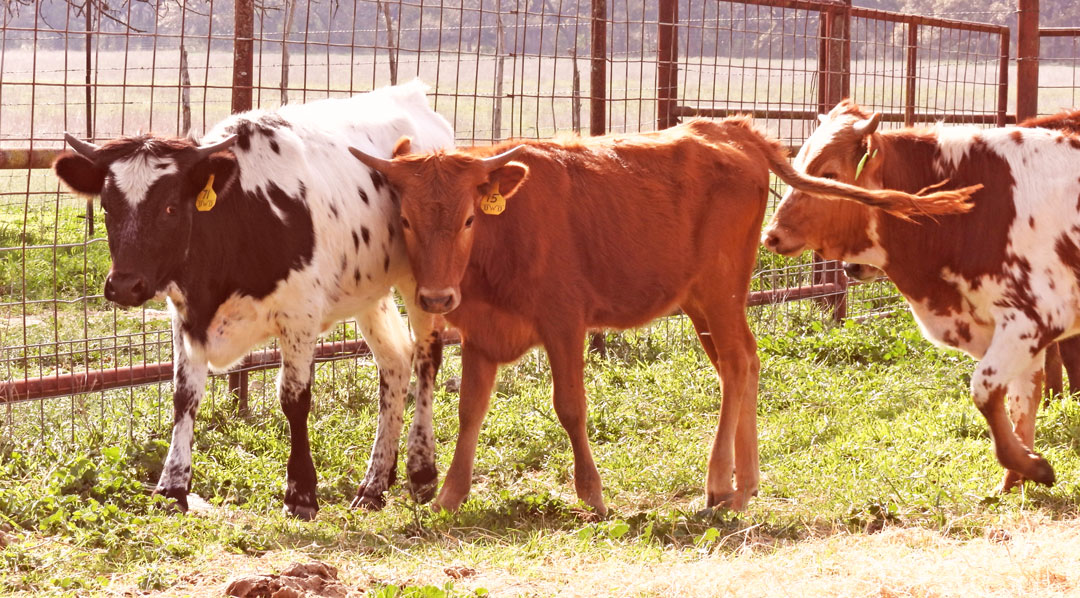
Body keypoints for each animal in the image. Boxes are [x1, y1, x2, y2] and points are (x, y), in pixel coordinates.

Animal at [53, 80, 455, 515]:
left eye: (171, 208)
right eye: (108, 207)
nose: (125, 285)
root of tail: (412, 95)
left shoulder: (300, 317)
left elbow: (294, 398)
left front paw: (301, 491)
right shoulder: (185, 316)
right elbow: (183, 395)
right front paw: (172, 485)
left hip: (423, 283)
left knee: (427, 359)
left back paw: (422, 469)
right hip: (368, 292)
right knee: (395, 362)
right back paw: (375, 482)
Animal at [349, 116, 976, 511]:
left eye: (468, 220)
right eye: (405, 220)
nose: (435, 299)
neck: (507, 235)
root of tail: (727, 128)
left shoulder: (564, 323)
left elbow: (570, 407)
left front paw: (592, 494)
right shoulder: (482, 333)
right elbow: (471, 412)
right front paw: (450, 495)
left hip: (721, 292)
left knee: (740, 362)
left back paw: (724, 485)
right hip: (702, 302)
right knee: (740, 365)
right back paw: (739, 482)